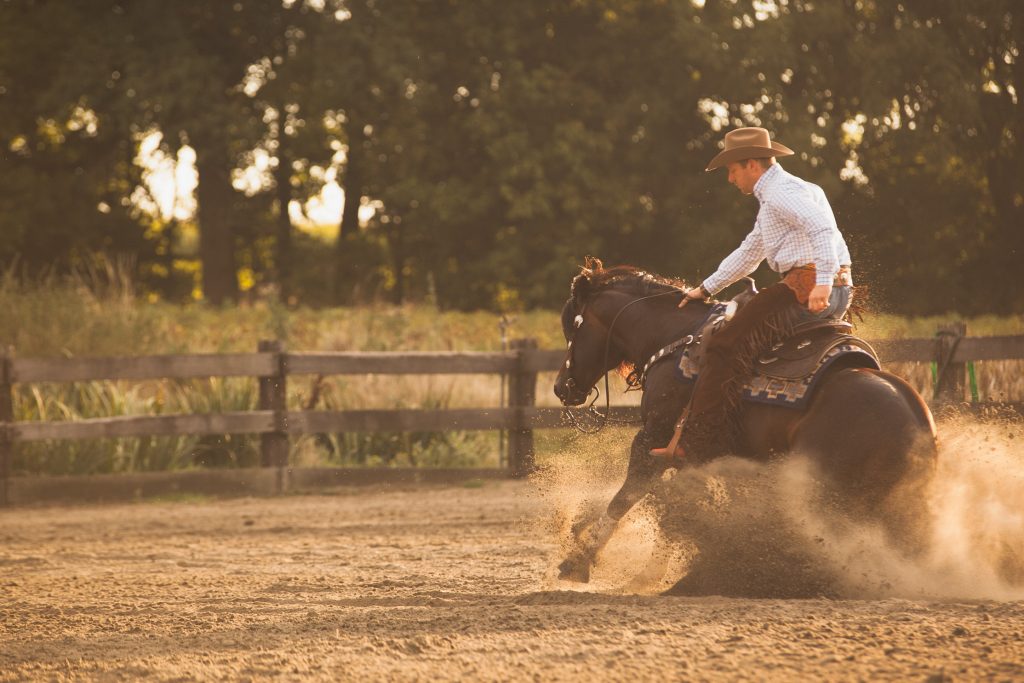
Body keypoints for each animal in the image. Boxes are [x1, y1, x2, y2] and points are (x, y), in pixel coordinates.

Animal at [552, 255, 937, 593]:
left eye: (572, 328)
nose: (561, 387)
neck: (676, 338)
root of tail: (918, 422)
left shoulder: (652, 438)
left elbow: (627, 496)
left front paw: (578, 561)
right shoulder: (695, 455)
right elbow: (673, 515)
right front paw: (644, 572)